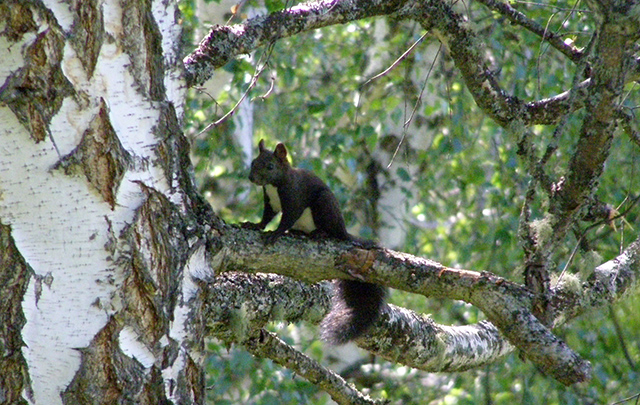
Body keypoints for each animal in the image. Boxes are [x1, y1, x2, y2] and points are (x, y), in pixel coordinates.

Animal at [245, 140, 384, 344]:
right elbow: (266, 217)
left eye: (270, 166)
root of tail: (343, 230)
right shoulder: (269, 200)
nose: (252, 178)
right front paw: (254, 225)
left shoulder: (294, 198)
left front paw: (275, 233)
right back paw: (298, 232)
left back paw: (320, 234)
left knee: (331, 232)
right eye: (253, 162)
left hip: (324, 205)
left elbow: (287, 218)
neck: (274, 185)